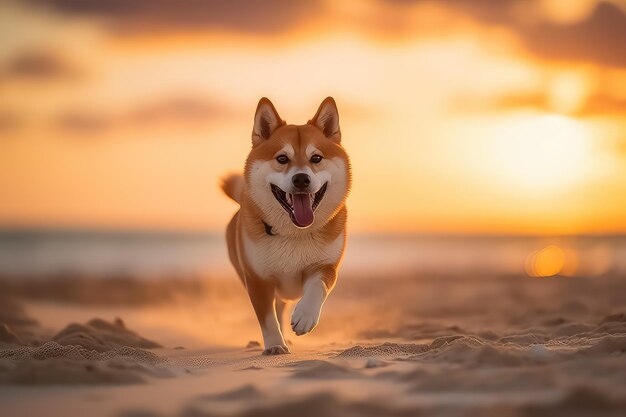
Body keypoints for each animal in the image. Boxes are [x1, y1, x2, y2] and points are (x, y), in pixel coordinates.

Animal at [222, 97, 352, 354]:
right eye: (282, 158)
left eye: (316, 158)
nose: (301, 178)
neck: (294, 233)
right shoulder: (257, 279)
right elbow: (267, 318)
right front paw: (275, 345)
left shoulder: (326, 266)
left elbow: (317, 287)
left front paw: (305, 317)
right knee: (278, 308)